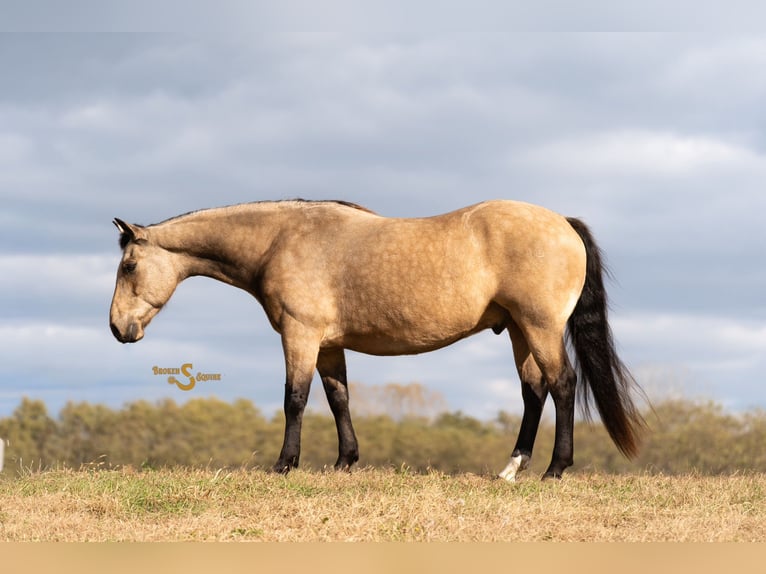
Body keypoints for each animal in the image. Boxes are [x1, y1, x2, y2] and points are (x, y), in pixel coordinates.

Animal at [109, 199, 645, 480]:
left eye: (129, 265)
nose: (118, 328)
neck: (281, 240)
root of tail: (562, 222)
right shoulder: (328, 344)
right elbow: (338, 398)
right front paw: (345, 462)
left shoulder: (301, 334)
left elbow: (295, 398)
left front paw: (285, 465)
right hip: (518, 329)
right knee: (534, 391)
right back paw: (512, 468)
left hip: (539, 326)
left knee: (562, 383)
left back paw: (556, 469)